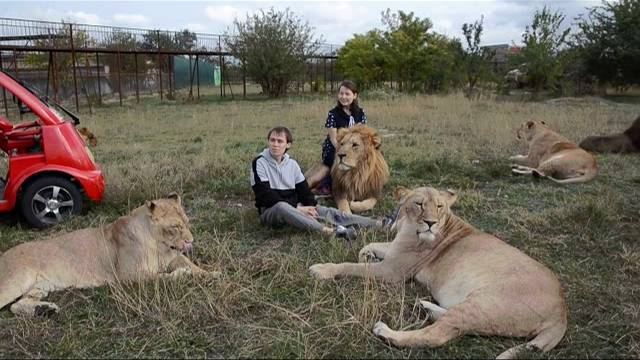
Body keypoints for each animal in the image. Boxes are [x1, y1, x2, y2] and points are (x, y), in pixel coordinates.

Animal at [0, 194, 215, 316]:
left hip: (40, 286)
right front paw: (183, 274)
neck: (159, 245)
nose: (191, 241)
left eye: (187, 222)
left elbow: (193, 266)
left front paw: (213, 274)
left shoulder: (173, 256)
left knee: (16, 306)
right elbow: (164, 278)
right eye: (176, 227)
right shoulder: (129, 276)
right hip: (15, 280)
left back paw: (44, 310)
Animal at [310, 187, 564, 358]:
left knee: (436, 335)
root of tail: (562, 312)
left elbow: (349, 266)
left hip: (484, 301)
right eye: (420, 204)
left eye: (440, 206)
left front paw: (322, 269)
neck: (409, 229)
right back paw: (426, 307)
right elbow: (371, 247)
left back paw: (386, 331)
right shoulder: (395, 252)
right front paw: (366, 254)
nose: (430, 223)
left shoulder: (392, 271)